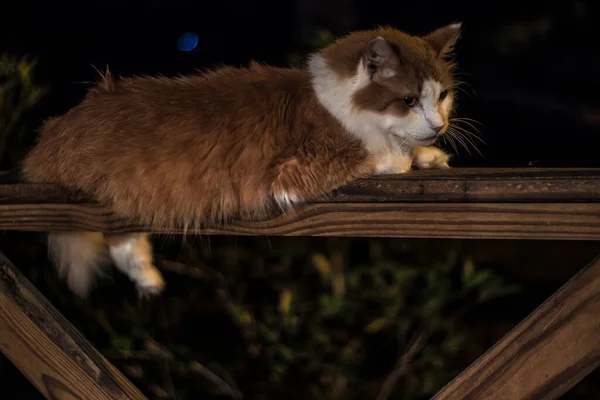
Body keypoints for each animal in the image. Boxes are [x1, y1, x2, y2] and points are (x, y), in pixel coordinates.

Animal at [22, 21, 464, 296]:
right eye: (409, 100)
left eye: (442, 96)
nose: (439, 124)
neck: (335, 102)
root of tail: (54, 131)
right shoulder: (295, 172)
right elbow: (383, 156)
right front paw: (408, 154)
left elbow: (410, 149)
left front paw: (430, 154)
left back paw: (148, 279)